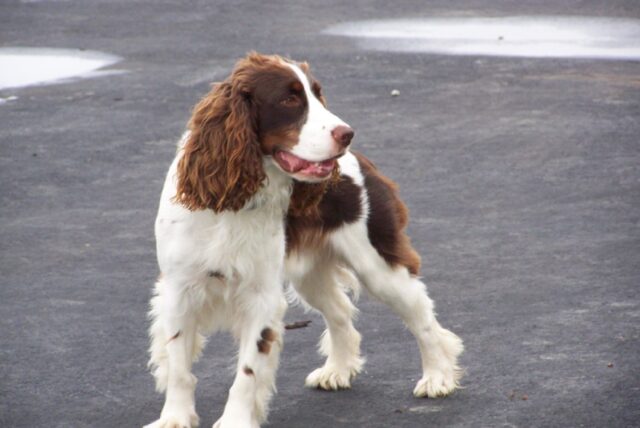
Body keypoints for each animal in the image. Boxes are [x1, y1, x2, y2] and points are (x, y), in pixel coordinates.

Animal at [144, 52, 462, 428]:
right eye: (289, 99)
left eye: (318, 95)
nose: (347, 133)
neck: (233, 203)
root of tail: (363, 161)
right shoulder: (180, 290)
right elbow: (179, 366)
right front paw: (175, 418)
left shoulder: (261, 296)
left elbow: (247, 372)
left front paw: (236, 420)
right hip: (310, 274)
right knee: (339, 311)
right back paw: (337, 369)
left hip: (378, 266)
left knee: (422, 316)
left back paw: (437, 376)